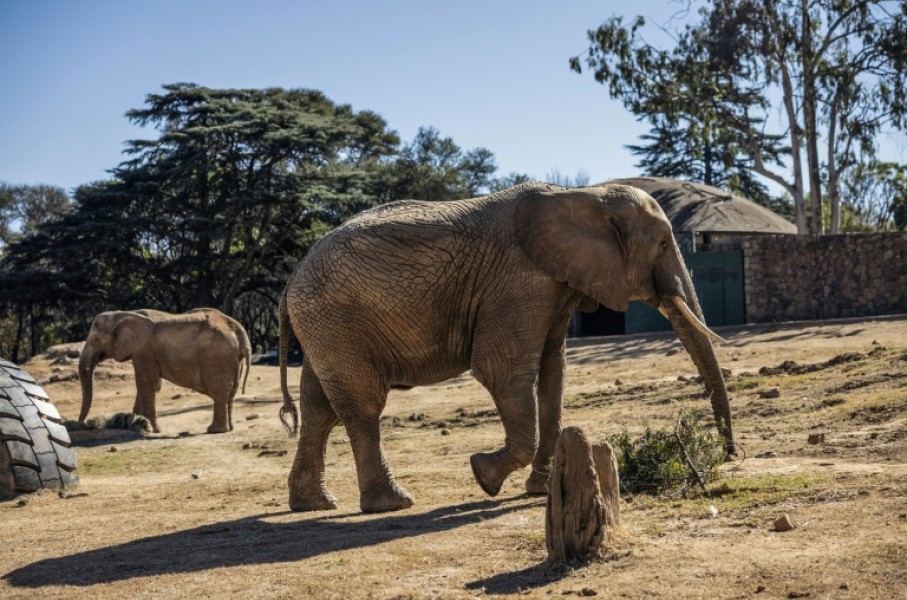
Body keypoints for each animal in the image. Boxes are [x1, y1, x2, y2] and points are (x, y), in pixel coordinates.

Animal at [78, 308, 251, 434]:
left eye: (95, 340)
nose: (83, 424)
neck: (121, 314)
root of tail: (240, 331)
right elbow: (147, 385)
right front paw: (135, 424)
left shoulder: (144, 351)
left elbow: (146, 384)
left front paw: (153, 429)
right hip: (232, 360)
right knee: (231, 393)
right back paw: (229, 428)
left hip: (217, 358)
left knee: (219, 392)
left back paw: (215, 430)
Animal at [277, 182, 734, 513]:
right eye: (663, 244)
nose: (731, 455)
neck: (585, 192)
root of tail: (290, 280)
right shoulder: (519, 283)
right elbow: (503, 372)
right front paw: (484, 475)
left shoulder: (555, 285)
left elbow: (552, 375)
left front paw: (538, 489)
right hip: (336, 320)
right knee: (362, 405)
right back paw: (392, 504)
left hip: (323, 327)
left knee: (319, 409)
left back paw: (314, 504)